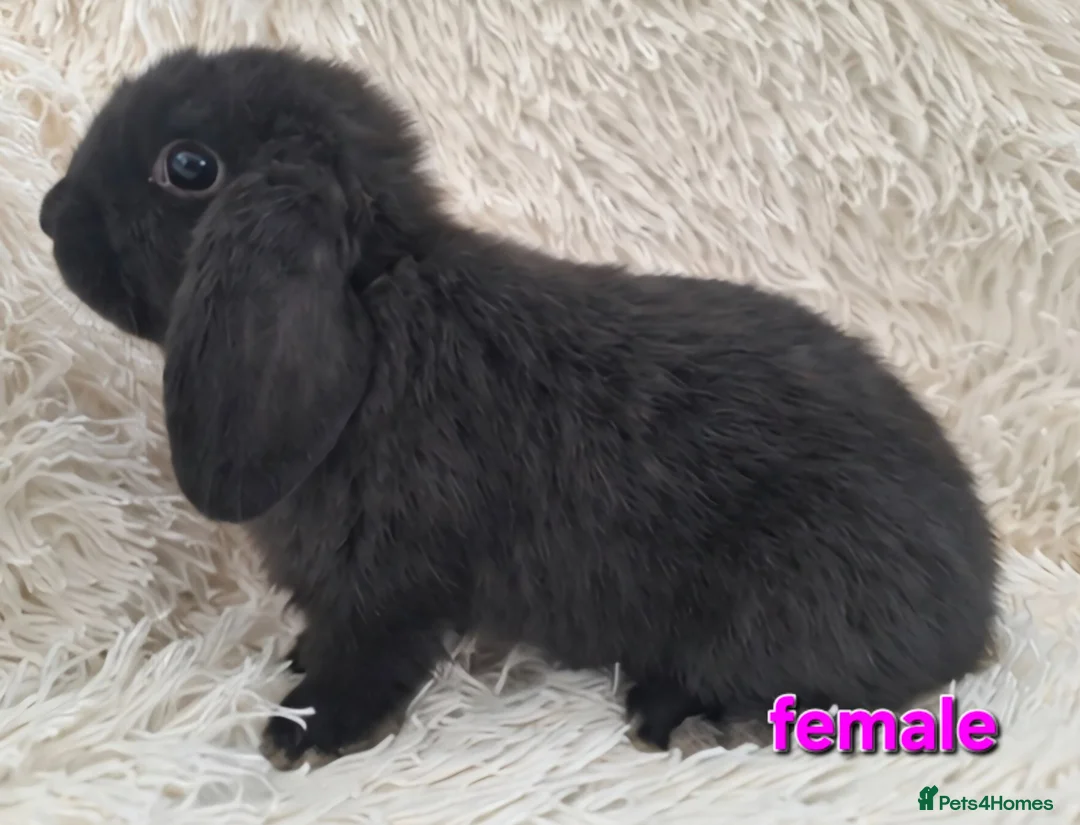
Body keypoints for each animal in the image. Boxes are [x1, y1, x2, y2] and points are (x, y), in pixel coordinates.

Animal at [39, 46, 1000, 771]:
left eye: (188, 166)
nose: (49, 213)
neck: (375, 306)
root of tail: (975, 601)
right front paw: (298, 662)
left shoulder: (393, 585)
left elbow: (372, 657)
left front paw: (304, 731)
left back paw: (678, 713)